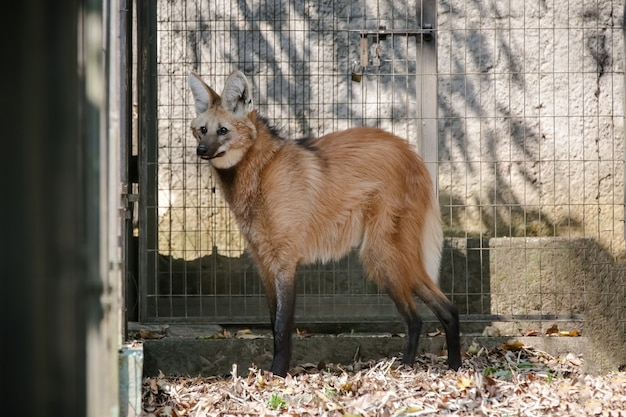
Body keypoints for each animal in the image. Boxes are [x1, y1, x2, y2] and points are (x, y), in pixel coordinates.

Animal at [188, 70, 460, 376]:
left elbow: (281, 326)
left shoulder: (285, 262)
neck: (259, 172)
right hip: (386, 255)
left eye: (223, 130)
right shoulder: (264, 263)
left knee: (437, 310)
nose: (201, 150)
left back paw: (450, 368)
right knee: (420, 317)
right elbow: (272, 322)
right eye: (202, 129)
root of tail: (413, 154)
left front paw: (277, 374)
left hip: (381, 253)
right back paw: (416, 368)